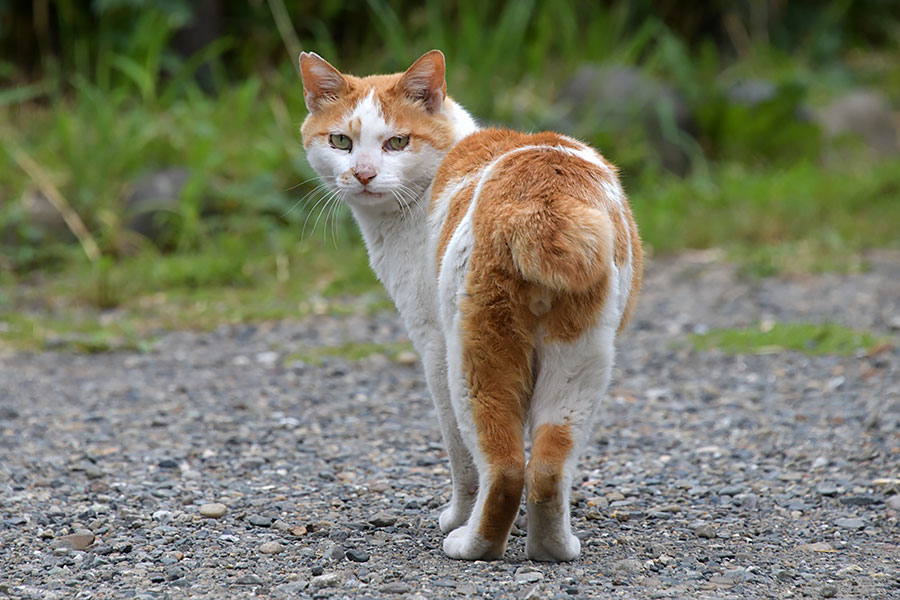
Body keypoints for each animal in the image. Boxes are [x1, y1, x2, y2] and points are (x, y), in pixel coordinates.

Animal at [298, 49, 644, 560]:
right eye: (341, 141)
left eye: (397, 142)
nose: (362, 174)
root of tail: (543, 201)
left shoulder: (433, 347)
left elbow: (461, 460)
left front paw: (456, 515)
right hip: (580, 363)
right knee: (547, 469)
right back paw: (553, 547)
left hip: (475, 359)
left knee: (503, 469)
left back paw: (471, 541)